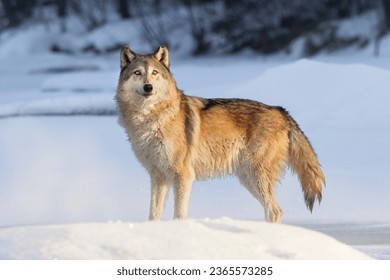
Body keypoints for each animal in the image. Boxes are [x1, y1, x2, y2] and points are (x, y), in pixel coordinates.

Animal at [116, 44, 326, 222]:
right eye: (137, 73)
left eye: (154, 73)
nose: (148, 87)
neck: (151, 119)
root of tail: (282, 111)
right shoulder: (158, 176)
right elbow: (153, 215)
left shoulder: (183, 175)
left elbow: (179, 214)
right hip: (247, 178)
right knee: (274, 211)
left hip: (255, 175)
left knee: (275, 211)